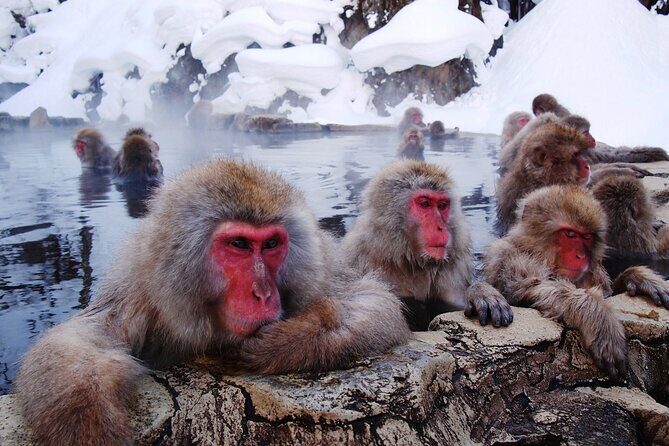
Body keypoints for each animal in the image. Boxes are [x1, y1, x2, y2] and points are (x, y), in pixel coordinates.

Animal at [15, 160, 411, 446]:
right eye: (238, 245)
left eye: (271, 244)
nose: (264, 294)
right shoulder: (138, 289)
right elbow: (87, 335)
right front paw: (84, 417)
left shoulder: (320, 270)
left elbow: (374, 300)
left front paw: (286, 343)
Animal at [482, 185, 669, 376]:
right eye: (570, 234)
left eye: (587, 237)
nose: (581, 256)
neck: (533, 250)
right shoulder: (507, 258)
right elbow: (531, 288)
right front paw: (598, 316)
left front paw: (638, 278)